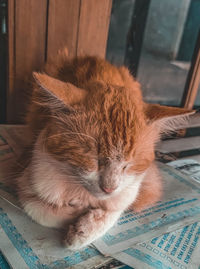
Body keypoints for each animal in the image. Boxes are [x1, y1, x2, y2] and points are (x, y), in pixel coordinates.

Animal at [16, 49, 194, 248]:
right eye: (94, 158)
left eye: (128, 165)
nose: (109, 188)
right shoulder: (27, 179)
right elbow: (40, 211)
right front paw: (76, 215)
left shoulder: (133, 189)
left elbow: (116, 209)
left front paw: (86, 228)